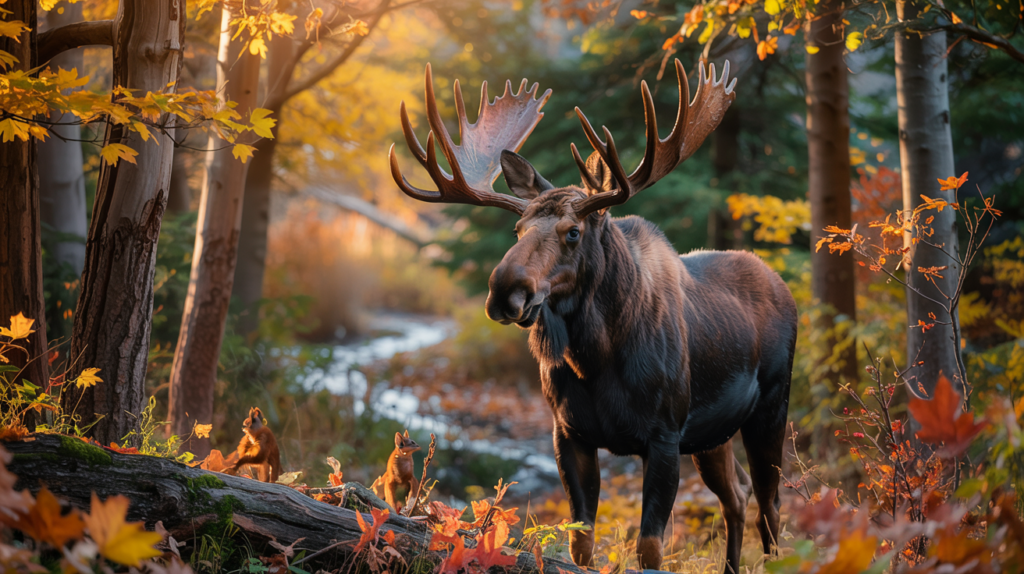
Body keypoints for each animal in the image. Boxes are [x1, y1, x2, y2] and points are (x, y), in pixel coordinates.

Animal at [388, 61, 797, 574]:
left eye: (573, 232)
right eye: (518, 228)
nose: (503, 291)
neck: (596, 358)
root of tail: (784, 287)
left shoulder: (664, 434)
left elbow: (649, 545)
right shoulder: (570, 433)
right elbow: (581, 540)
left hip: (770, 408)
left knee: (771, 505)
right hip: (712, 434)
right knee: (737, 496)